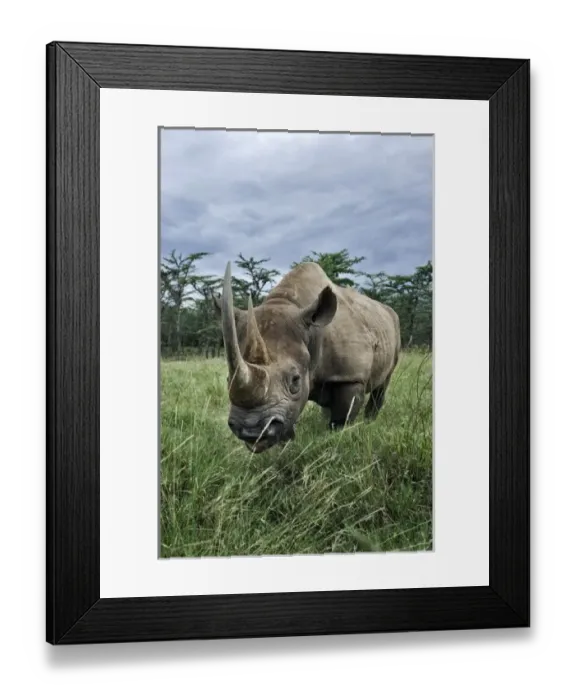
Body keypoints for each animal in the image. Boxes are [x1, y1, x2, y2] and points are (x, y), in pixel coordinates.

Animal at [215, 261, 401, 453]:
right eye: (228, 379)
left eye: (295, 380)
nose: (251, 431)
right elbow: (289, 419)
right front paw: (286, 448)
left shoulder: (350, 376)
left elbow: (341, 419)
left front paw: (337, 440)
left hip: (393, 325)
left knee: (383, 382)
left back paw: (368, 423)